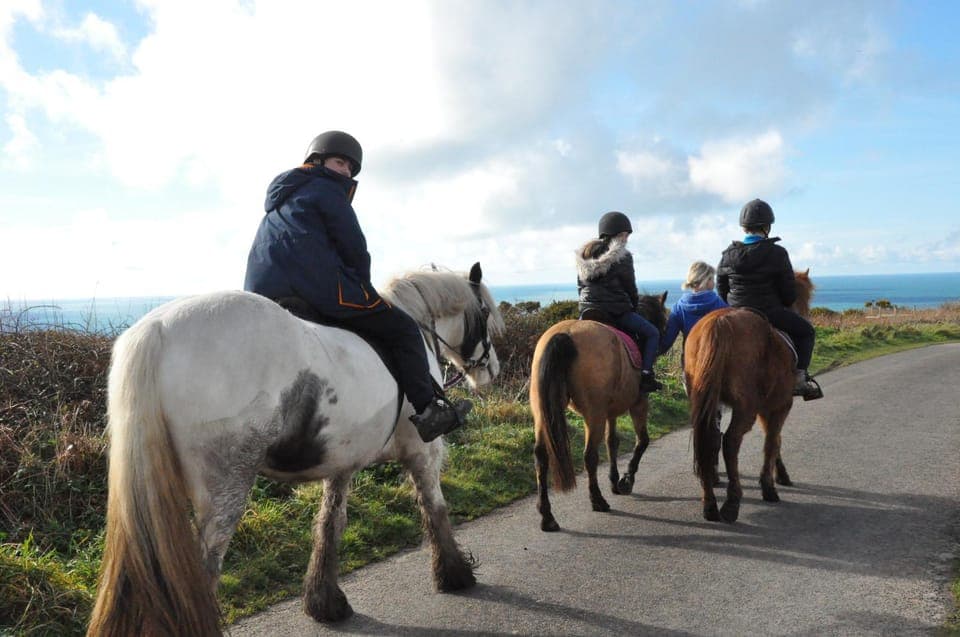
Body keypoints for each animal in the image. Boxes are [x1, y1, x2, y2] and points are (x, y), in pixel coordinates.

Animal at [86, 263, 504, 636]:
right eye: (484, 313)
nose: (491, 370)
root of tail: (157, 329)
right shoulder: (422, 452)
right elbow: (435, 507)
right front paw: (454, 575)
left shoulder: (341, 463)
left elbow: (330, 523)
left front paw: (324, 602)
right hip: (225, 488)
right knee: (204, 570)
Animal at [530, 292, 668, 532]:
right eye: (661, 322)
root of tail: (566, 334)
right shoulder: (638, 403)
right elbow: (642, 441)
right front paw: (626, 480)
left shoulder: (609, 411)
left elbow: (612, 442)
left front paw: (615, 481)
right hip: (593, 414)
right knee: (589, 455)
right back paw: (597, 500)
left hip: (544, 413)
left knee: (542, 456)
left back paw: (547, 516)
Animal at [684, 269, 815, 523]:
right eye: (803, 297)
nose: (806, 315)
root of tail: (720, 323)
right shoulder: (780, 405)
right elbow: (772, 440)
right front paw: (770, 485)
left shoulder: (768, 407)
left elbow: (774, 440)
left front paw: (779, 474)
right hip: (746, 407)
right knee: (730, 441)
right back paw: (732, 502)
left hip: (708, 402)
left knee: (710, 440)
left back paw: (710, 504)